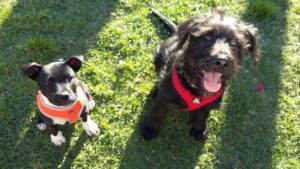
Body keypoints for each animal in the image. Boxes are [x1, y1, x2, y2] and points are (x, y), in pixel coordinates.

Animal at [141, 9, 260, 141]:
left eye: (235, 43)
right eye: (207, 37)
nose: (222, 61)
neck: (197, 92)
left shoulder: (209, 105)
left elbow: (202, 115)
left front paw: (199, 129)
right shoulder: (163, 97)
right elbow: (157, 112)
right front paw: (150, 128)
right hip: (160, 55)